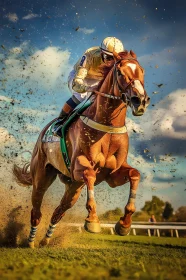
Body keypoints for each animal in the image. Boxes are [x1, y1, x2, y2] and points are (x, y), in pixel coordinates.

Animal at [13, 49, 150, 247]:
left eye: (142, 71)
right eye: (119, 72)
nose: (140, 100)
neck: (107, 127)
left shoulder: (112, 175)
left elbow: (135, 174)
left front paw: (124, 224)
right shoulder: (80, 168)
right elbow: (90, 174)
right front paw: (93, 221)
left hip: (73, 187)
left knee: (58, 212)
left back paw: (45, 241)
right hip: (41, 176)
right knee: (36, 211)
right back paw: (30, 241)